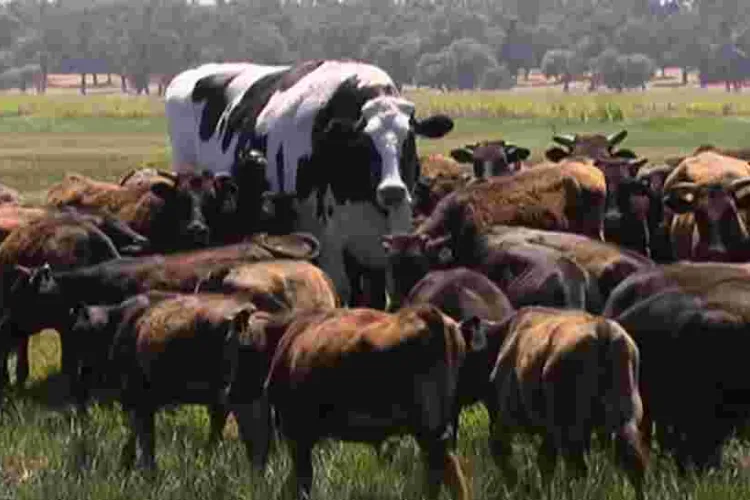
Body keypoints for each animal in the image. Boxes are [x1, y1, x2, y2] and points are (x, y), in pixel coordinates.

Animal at [165, 60, 455, 309]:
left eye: (409, 139)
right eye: (364, 141)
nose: (392, 190)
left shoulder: (389, 241)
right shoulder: (328, 243)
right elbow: (341, 291)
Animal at [486, 307, 646, 500]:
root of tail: (602, 329)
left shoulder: (506, 419)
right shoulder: (551, 433)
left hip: (571, 429)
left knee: (577, 468)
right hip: (623, 421)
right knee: (634, 462)